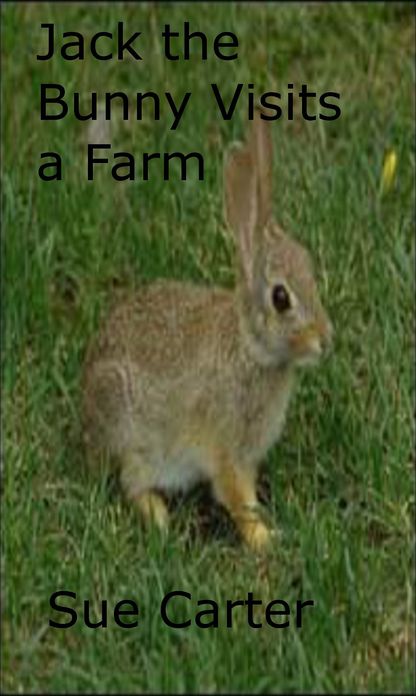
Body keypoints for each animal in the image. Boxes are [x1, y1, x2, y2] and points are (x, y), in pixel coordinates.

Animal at [82, 108, 332, 552]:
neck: (249, 349)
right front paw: (266, 538)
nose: (325, 340)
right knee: (132, 483)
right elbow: (237, 498)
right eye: (281, 298)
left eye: (309, 267)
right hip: (133, 432)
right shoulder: (226, 448)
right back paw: (162, 521)